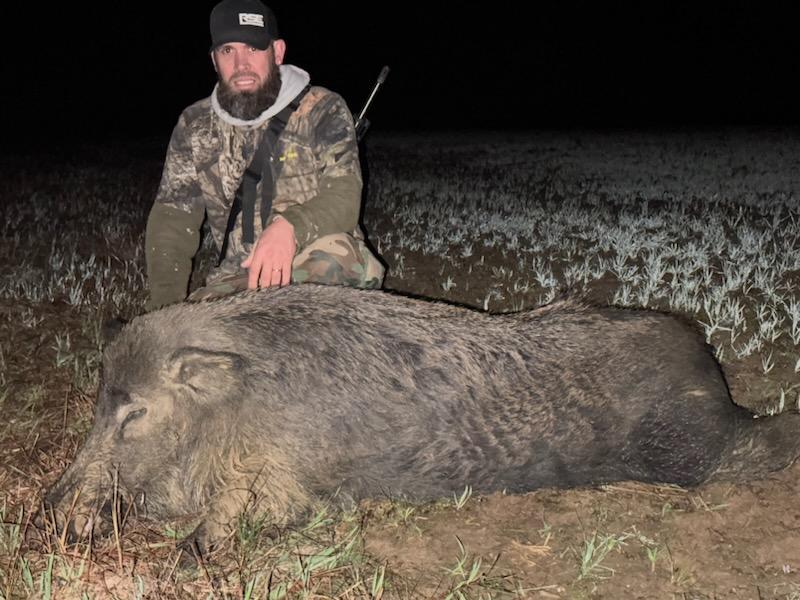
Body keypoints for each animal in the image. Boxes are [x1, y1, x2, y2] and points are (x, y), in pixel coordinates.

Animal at [44, 283, 800, 548]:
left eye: (135, 411)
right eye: (99, 399)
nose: (47, 506)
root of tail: (707, 364)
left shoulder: (286, 483)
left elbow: (212, 532)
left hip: (691, 454)